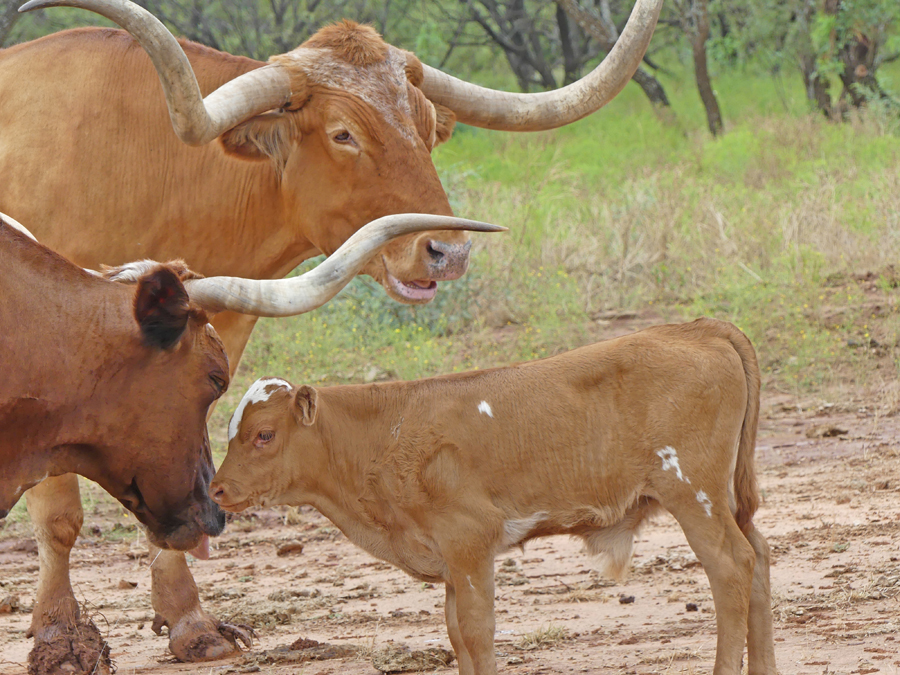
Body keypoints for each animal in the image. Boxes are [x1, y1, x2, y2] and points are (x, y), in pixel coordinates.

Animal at [0, 0, 660, 660]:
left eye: (426, 127)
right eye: (344, 134)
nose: (448, 251)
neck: (161, 169)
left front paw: (190, 621)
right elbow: (61, 514)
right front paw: (60, 636)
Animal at [214, 320, 776, 675]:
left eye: (263, 434)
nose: (217, 489)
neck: (385, 434)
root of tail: (697, 328)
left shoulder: (469, 541)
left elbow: (477, 630)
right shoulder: (447, 559)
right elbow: (456, 632)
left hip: (693, 494)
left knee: (731, 567)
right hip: (727, 499)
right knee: (760, 559)